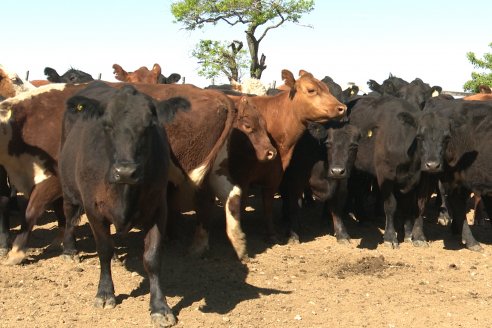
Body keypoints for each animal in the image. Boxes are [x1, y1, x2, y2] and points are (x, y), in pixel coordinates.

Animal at [57, 81, 188, 326]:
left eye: (149, 126)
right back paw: (69, 249)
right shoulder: (93, 209)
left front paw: (160, 307)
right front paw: (105, 293)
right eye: (106, 125)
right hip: (68, 188)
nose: (126, 171)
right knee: (69, 217)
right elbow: (103, 249)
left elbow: (152, 257)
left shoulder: (158, 208)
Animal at [190, 68, 348, 258]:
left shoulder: (274, 176)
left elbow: (268, 205)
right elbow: (239, 203)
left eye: (326, 88)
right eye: (311, 90)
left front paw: (271, 234)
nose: (342, 107)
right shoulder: (242, 175)